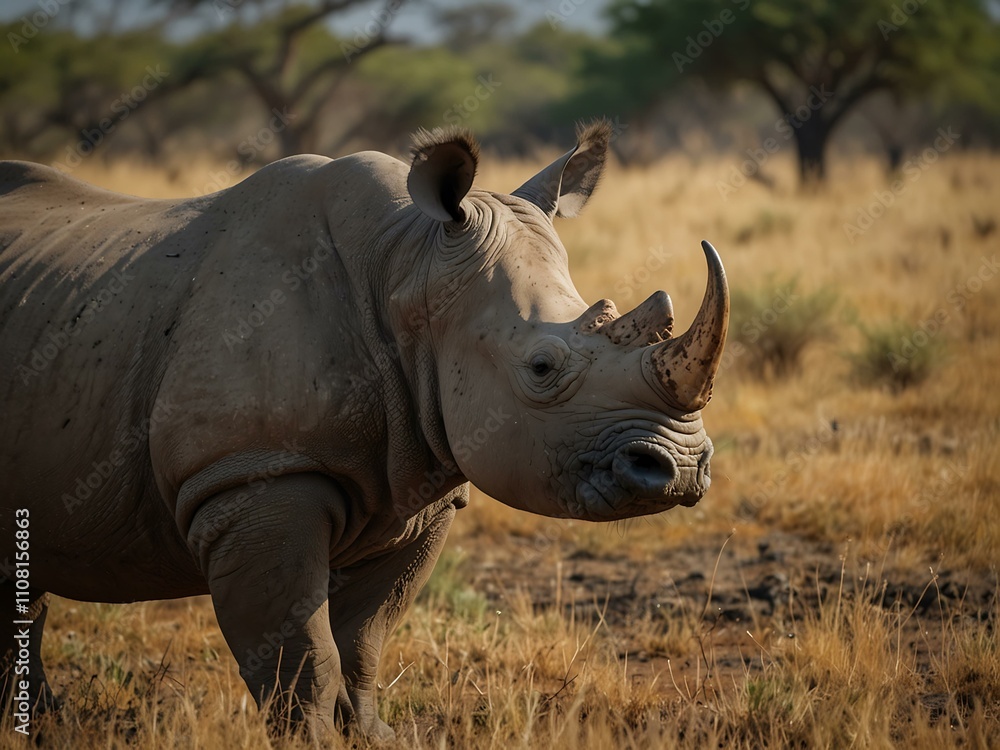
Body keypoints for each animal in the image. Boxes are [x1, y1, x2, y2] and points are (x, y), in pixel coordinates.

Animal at [0, 121, 728, 740]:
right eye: (542, 367)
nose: (682, 468)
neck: (405, 268)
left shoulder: (424, 485)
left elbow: (362, 641)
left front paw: (375, 737)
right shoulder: (255, 476)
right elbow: (301, 653)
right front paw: (313, 741)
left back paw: (36, 725)